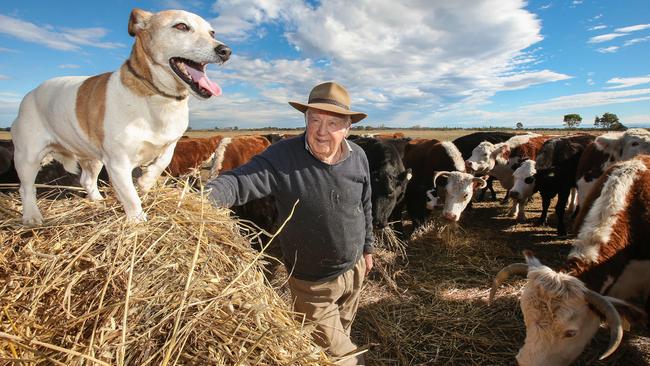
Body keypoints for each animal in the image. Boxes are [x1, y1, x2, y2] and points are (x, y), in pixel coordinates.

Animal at [10, 8, 230, 224]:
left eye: (212, 33)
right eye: (181, 26)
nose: (226, 51)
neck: (157, 97)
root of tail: (31, 93)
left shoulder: (171, 142)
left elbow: (162, 162)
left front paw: (146, 181)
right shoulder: (118, 163)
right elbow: (131, 197)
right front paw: (138, 221)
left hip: (93, 158)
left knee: (87, 180)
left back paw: (98, 202)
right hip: (28, 157)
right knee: (26, 188)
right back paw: (31, 216)